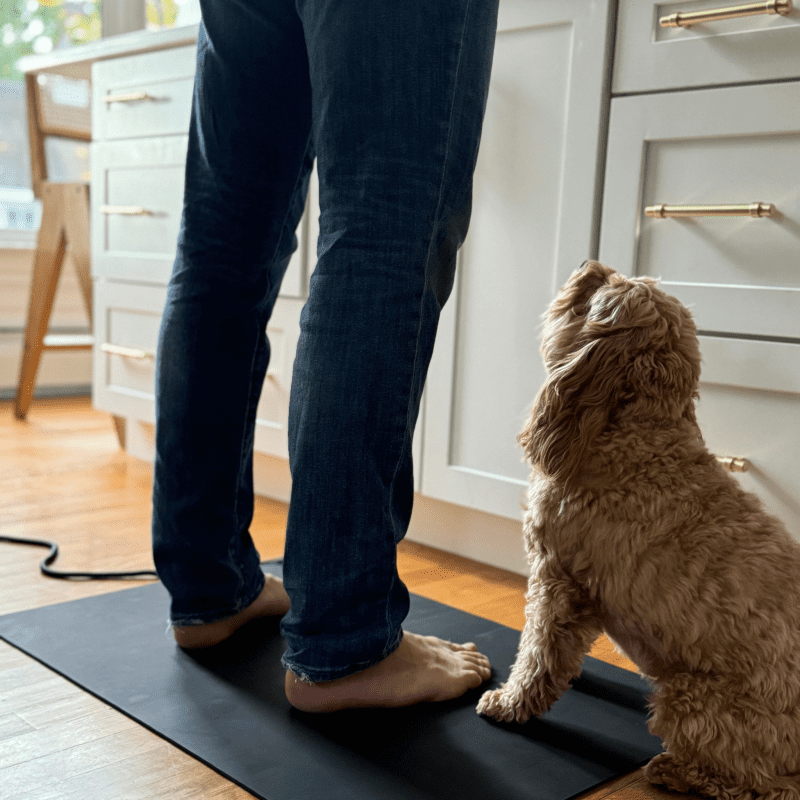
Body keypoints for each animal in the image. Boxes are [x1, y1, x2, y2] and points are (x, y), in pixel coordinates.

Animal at [476, 262, 800, 800]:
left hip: (692, 698)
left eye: (590, 297)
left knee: (753, 783)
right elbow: (559, 648)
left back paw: (675, 770)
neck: (640, 441)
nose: (589, 265)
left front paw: (510, 703)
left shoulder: (558, 579)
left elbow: (540, 650)